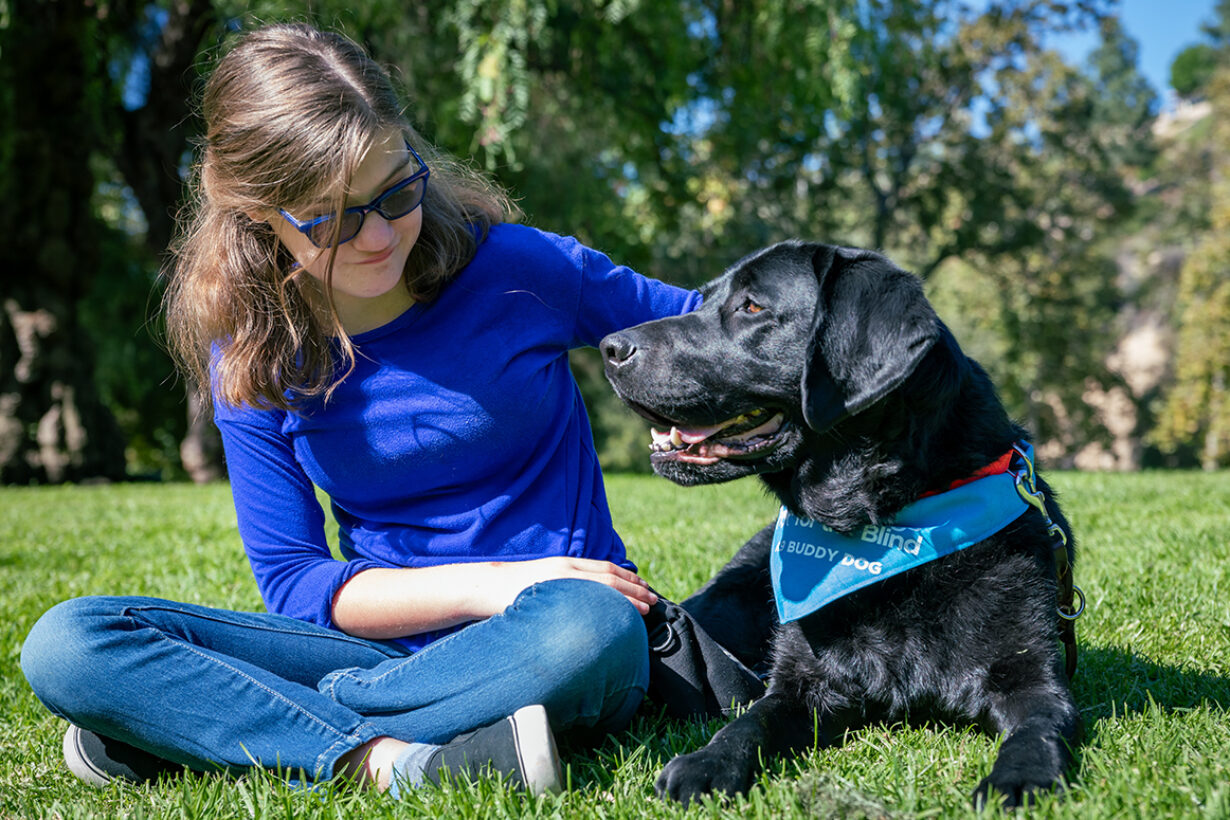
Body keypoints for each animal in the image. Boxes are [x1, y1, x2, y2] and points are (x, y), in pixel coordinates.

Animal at [600, 242, 1082, 806]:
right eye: (704, 299)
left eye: (751, 306)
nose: (610, 348)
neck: (878, 528)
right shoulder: (801, 680)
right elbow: (750, 722)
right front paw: (707, 762)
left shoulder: (1033, 676)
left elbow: (1040, 729)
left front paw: (1019, 778)